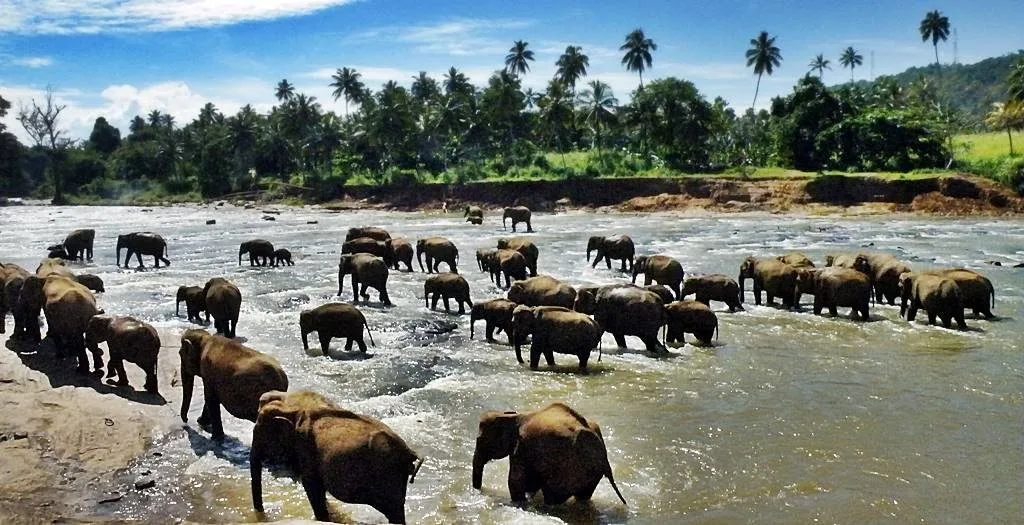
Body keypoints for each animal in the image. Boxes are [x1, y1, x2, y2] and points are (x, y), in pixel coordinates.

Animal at [250, 390, 422, 524]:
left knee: (394, 511)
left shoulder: (305, 443)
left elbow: (311, 484)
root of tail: (408, 452)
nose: (263, 516)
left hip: (387, 476)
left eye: (259, 433)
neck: (290, 405)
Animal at [472, 402, 627, 506]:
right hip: (591, 473)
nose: (478, 491)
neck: (515, 415)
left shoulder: (522, 447)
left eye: (480, 440)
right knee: (583, 496)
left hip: (570, 468)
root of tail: (603, 457)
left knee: (553, 495)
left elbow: (516, 481)